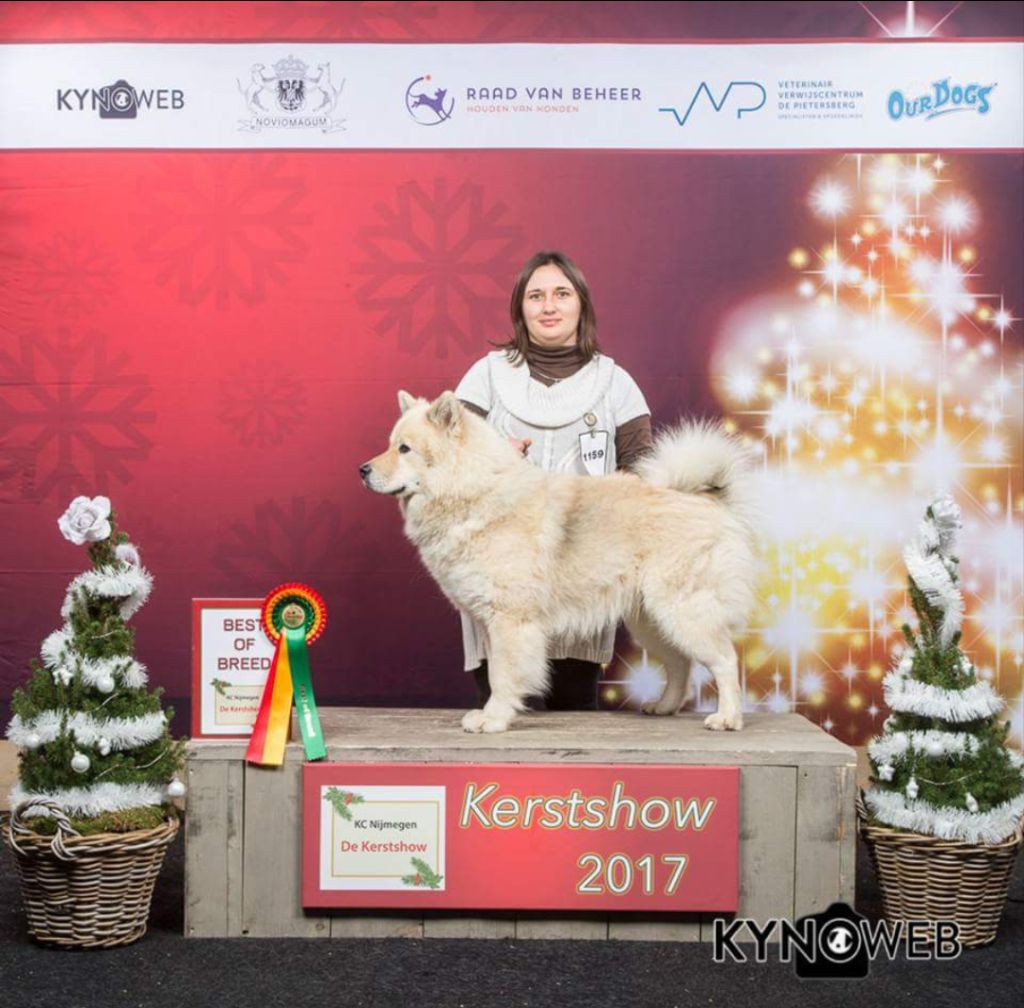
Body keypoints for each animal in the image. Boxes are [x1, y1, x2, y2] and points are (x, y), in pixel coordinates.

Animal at [358, 391, 753, 733]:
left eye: (404, 449)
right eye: (391, 444)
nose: (363, 470)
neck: (473, 492)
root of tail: (702, 498)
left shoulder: (510, 620)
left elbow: (504, 675)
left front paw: (494, 719)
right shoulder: (491, 623)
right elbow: (495, 673)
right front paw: (489, 714)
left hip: (682, 611)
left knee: (724, 660)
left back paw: (728, 718)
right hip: (652, 620)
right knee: (680, 663)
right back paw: (664, 706)